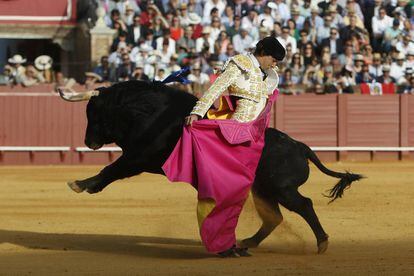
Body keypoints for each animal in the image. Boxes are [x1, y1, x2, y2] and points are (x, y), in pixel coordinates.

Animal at [60, 81, 362, 253]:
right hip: (263, 189)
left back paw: (322, 242)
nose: (89, 142)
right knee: (273, 217)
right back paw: (246, 243)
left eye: (93, 111)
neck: (151, 112)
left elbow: (111, 170)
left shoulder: (138, 157)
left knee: (304, 205)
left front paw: (81, 184)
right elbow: (112, 170)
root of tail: (300, 146)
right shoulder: (138, 157)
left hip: (282, 188)